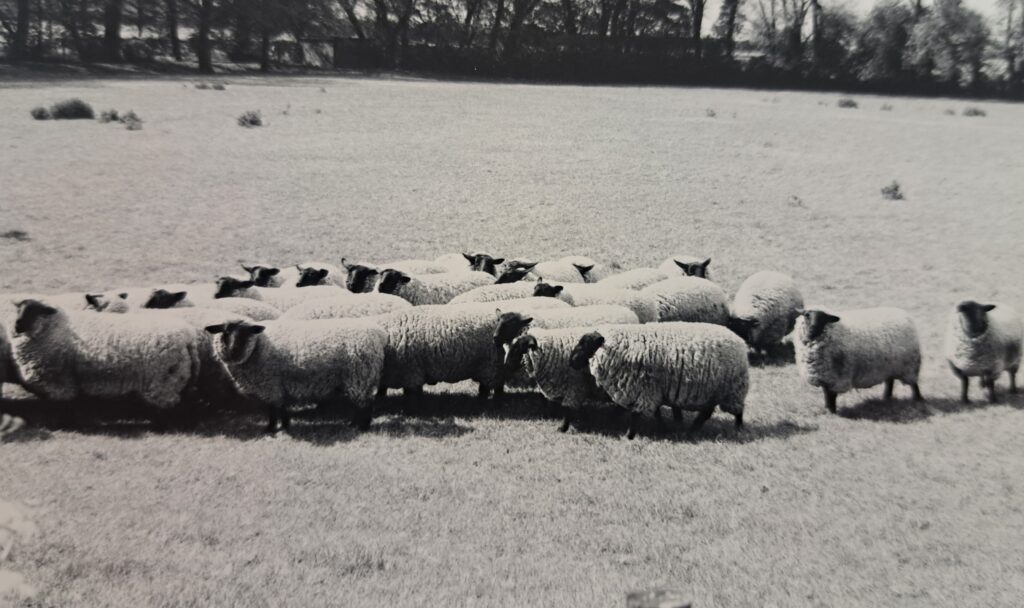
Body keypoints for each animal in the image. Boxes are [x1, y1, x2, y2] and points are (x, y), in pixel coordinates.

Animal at [8, 299, 202, 413]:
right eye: (19, 309)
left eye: (35, 310)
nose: (17, 326)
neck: (53, 326)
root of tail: (187, 337)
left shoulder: (59, 381)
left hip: (163, 381)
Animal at [206, 318, 386, 432]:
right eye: (226, 332)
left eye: (246, 333)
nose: (233, 351)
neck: (258, 346)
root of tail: (377, 333)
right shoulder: (280, 384)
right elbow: (282, 407)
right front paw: (285, 424)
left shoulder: (269, 384)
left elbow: (272, 409)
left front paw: (270, 428)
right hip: (359, 377)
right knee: (361, 404)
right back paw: (352, 424)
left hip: (359, 375)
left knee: (365, 404)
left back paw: (361, 427)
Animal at [569, 322, 749, 439]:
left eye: (586, 344)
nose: (571, 361)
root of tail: (740, 341)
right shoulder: (646, 390)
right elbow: (645, 412)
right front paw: (663, 428)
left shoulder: (642, 388)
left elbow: (635, 414)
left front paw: (629, 435)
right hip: (713, 391)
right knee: (707, 412)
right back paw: (692, 430)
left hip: (733, 389)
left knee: (738, 411)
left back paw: (738, 429)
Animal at [794, 308, 923, 413]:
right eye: (806, 315)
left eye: (824, 318)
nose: (812, 329)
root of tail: (902, 313)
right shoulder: (825, 377)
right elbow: (826, 394)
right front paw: (827, 409)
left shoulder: (836, 377)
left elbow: (831, 395)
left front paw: (832, 411)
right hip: (889, 363)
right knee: (890, 381)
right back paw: (886, 397)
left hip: (909, 365)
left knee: (913, 383)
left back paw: (918, 399)